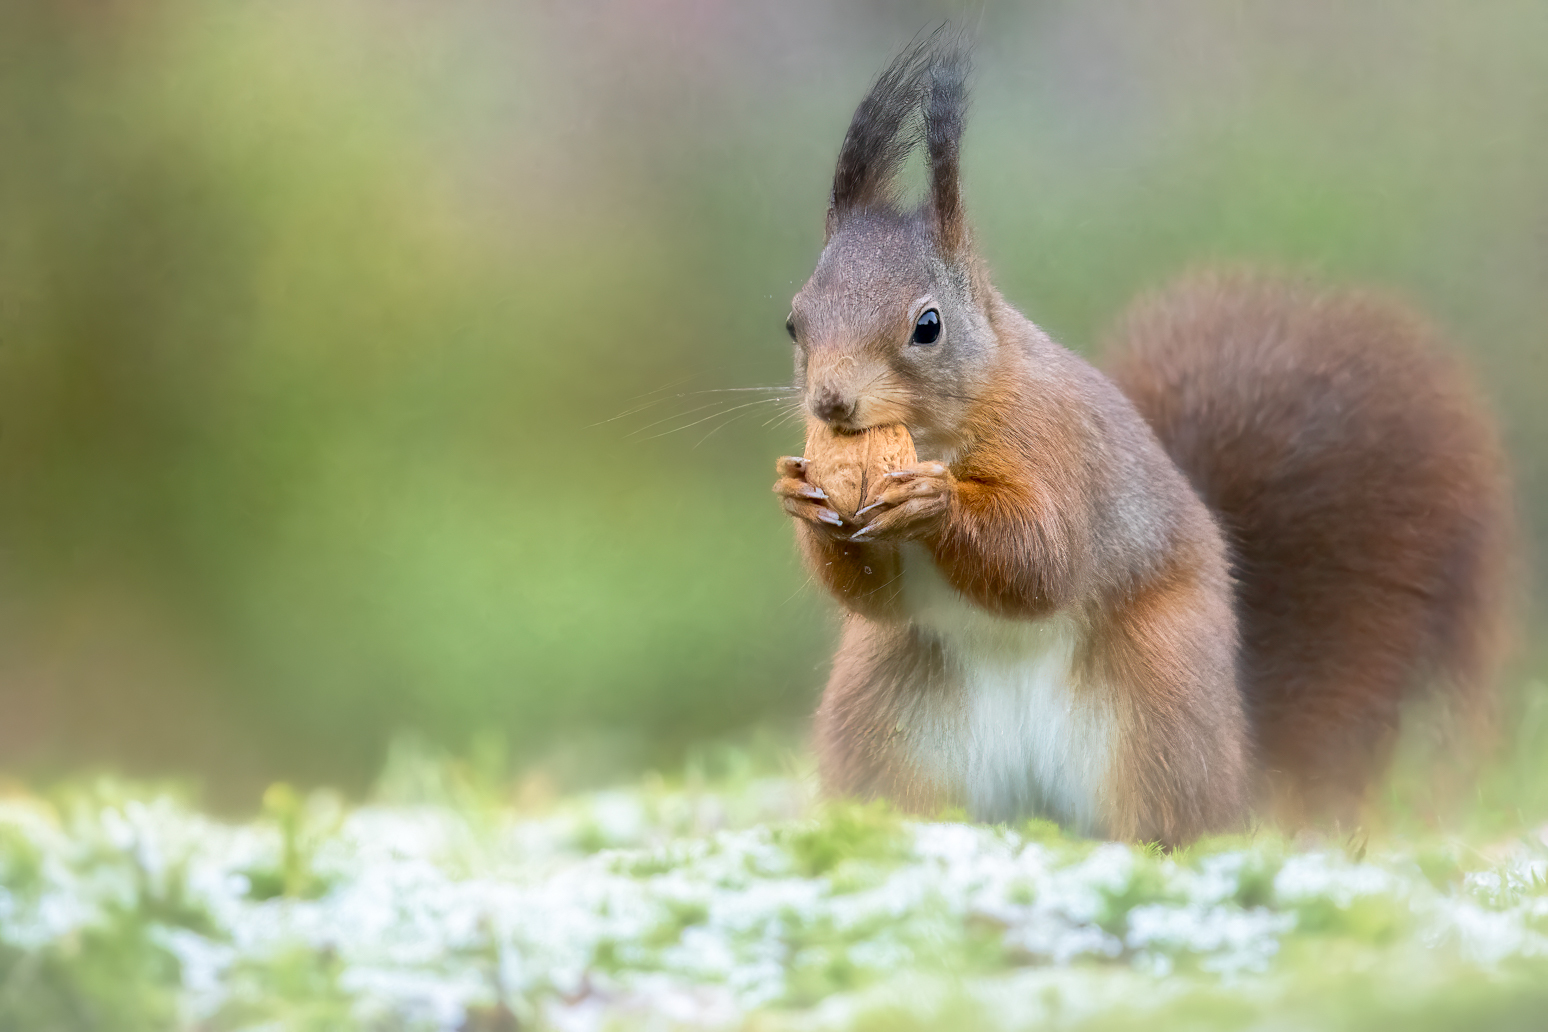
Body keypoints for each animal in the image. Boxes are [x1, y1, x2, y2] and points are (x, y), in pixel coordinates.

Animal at [774, 32, 1510, 841]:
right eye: (794, 322)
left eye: (927, 326)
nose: (831, 403)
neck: (939, 432)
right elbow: (872, 595)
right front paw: (801, 493)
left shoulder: (1057, 447)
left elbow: (1044, 558)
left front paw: (934, 502)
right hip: (888, 710)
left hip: (1159, 698)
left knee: (1166, 813)